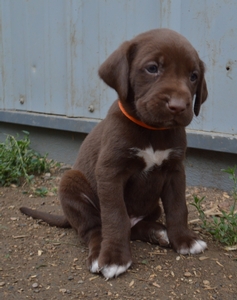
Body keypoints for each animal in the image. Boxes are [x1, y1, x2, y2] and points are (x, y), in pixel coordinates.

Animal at [20, 28, 207, 278]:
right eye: (152, 68)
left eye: (193, 76)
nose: (177, 106)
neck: (152, 131)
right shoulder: (111, 173)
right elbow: (115, 217)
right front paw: (115, 258)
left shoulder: (175, 170)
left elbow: (178, 207)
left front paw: (185, 240)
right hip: (71, 184)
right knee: (94, 229)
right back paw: (99, 254)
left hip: (152, 208)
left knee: (134, 227)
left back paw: (158, 232)